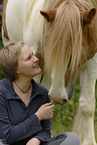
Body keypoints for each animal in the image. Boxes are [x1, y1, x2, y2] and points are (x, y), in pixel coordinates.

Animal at [1, 0, 97, 145]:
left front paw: (89, 141)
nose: (58, 96)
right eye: (47, 44)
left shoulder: (92, 62)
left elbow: (87, 106)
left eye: (76, 53)